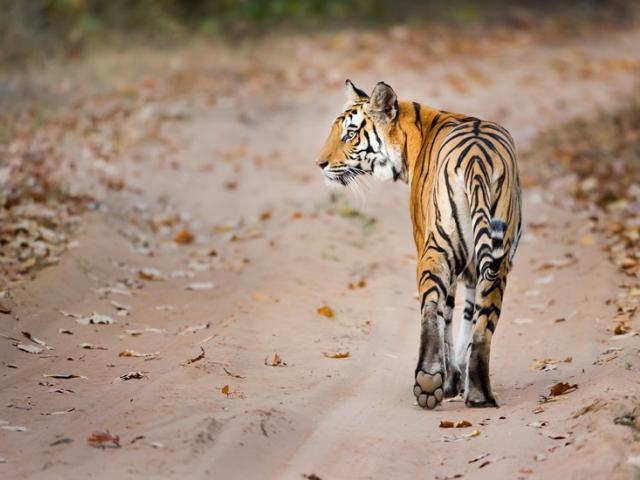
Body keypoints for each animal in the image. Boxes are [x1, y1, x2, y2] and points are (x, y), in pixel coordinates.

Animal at [316, 80, 522, 409]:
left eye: (349, 134)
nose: (320, 163)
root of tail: (477, 160)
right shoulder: (473, 271)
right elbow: (467, 318)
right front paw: (459, 379)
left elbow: (446, 317)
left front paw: (449, 382)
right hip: (497, 262)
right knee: (483, 324)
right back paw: (479, 394)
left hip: (435, 250)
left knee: (430, 310)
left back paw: (428, 382)